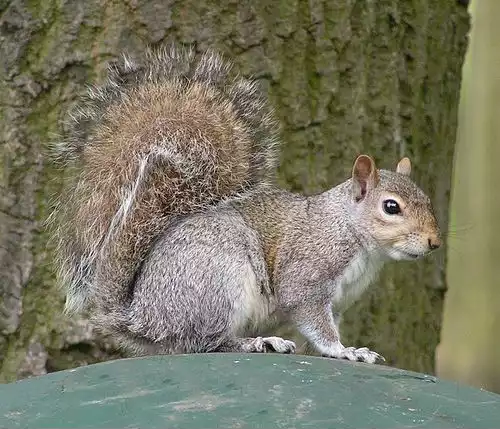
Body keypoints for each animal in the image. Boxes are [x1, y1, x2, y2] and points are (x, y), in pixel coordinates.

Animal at [49, 45, 442, 362]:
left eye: (427, 200)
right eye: (391, 207)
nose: (434, 242)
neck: (349, 230)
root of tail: (142, 317)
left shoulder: (339, 303)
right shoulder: (307, 276)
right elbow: (314, 321)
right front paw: (345, 351)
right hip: (219, 284)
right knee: (205, 342)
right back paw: (257, 343)